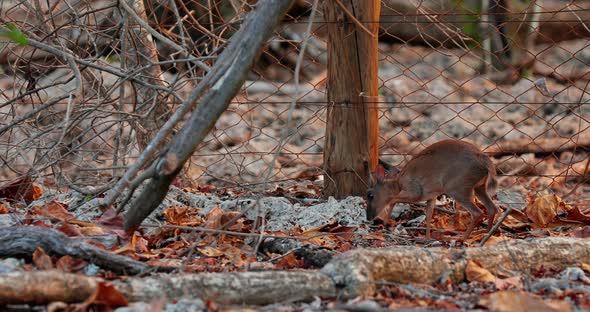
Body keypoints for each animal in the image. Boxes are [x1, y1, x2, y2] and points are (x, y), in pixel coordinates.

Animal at [370, 140, 500, 240]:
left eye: (370, 195)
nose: (369, 216)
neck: (399, 183)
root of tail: (486, 162)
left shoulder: (414, 192)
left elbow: (393, 200)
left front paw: (387, 224)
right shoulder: (431, 197)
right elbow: (429, 215)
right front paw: (427, 238)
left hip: (457, 189)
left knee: (478, 212)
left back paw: (462, 238)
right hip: (479, 187)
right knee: (492, 208)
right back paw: (485, 233)